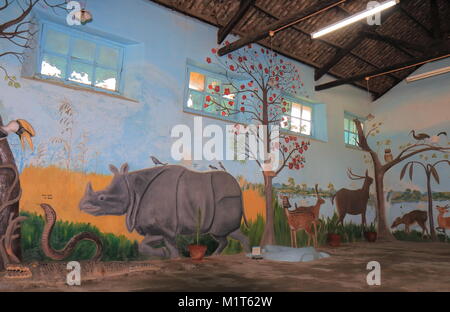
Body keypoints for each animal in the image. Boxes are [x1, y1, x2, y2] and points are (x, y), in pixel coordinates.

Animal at [79, 163, 251, 258]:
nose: (81, 205)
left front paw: (170, 256)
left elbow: (169, 246)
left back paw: (244, 255)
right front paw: (168, 255)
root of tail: (239, 189)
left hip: (227, 200)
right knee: (224, 235)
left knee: (223, 232)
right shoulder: (157, 228)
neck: (133, 189)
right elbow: (144, 244)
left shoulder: (166, 228)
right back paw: (218, 256)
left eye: (102, 198)